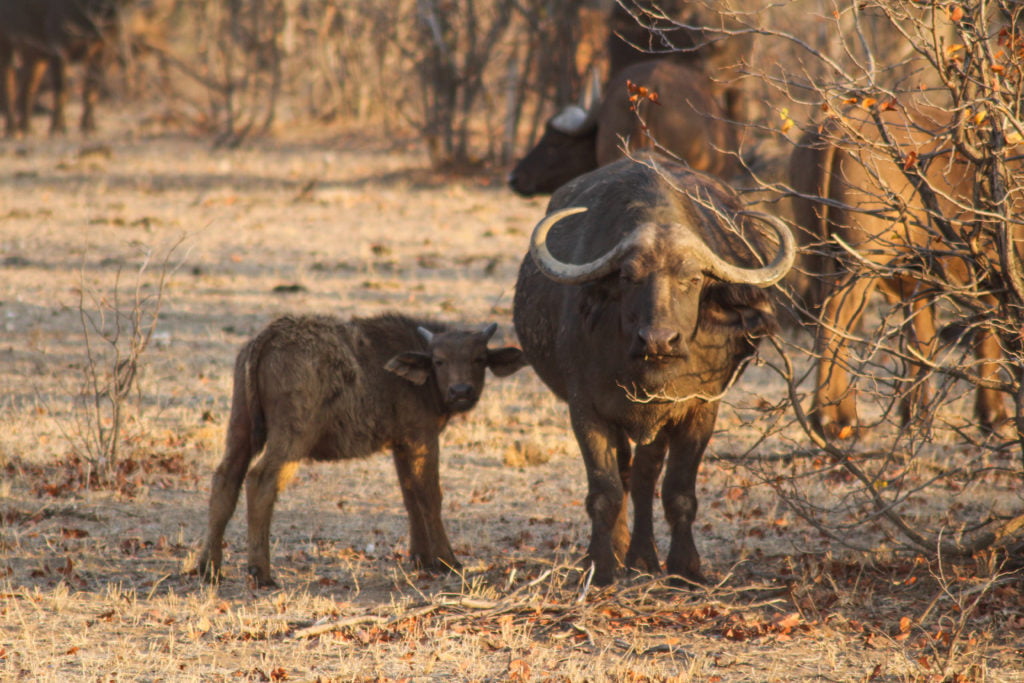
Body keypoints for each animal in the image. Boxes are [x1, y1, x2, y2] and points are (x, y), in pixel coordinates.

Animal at [0, 0, 124, 136]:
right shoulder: (58, 49)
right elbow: (61, 89)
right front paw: (57, 127)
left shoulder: (103, 50)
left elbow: (91, 89)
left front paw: (88, 125)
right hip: (6, 44)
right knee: (8, 85)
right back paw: (12, 129)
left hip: (34, 54)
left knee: (28, 88)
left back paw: (25, 127)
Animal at [197, 313, 526, 587]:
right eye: (439, 361)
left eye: (479, 358)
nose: (461, 392)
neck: (415, 378)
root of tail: (269, 336)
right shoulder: (422, 438)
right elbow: (430, 496)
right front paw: (447, 560)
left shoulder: (401, 445)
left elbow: (410, 496)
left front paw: (422, 559)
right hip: (291, 437)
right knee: (261, 480)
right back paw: (260, 572)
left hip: (240, 426)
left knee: (225, 480)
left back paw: (208, 568)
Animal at [513, 153, 795, 585]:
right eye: (629, 277)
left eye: (692, 278)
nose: (659, 341)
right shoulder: (586, 409)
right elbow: (606, 491)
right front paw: (600, 565)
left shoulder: (700, 408)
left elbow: (678, 491)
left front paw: (685, 568)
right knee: (628, 476)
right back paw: (624, 551)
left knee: (646, 477)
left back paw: (644, 557)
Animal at [790, 106, 1018, 437]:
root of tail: (838, 126)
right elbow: (988, 337)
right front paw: (995, 417)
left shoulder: (921, 286)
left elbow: (922, 341)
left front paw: (915, 417)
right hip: (860, 266)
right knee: (834, 322)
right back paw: (835, 419)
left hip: (819, 258)